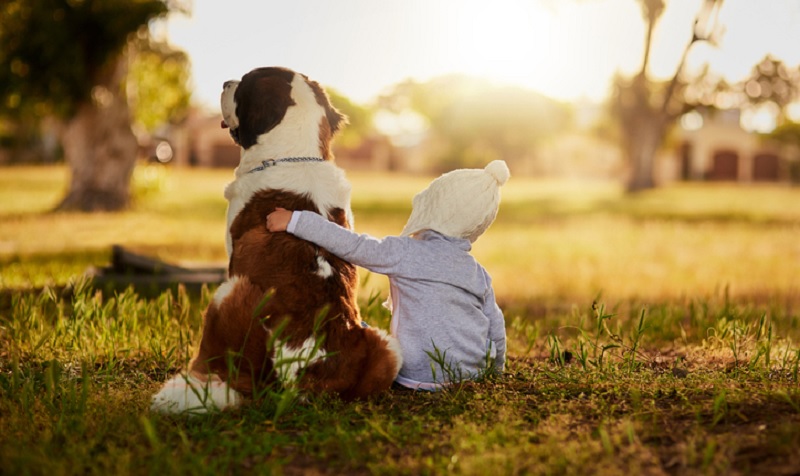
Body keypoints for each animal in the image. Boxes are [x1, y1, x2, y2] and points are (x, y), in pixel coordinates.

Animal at [152, 66, 400, 412]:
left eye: (243, 84)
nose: (225, 82)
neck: (295, 156)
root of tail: (307, 375)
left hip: (229, 291)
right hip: (388, 347)